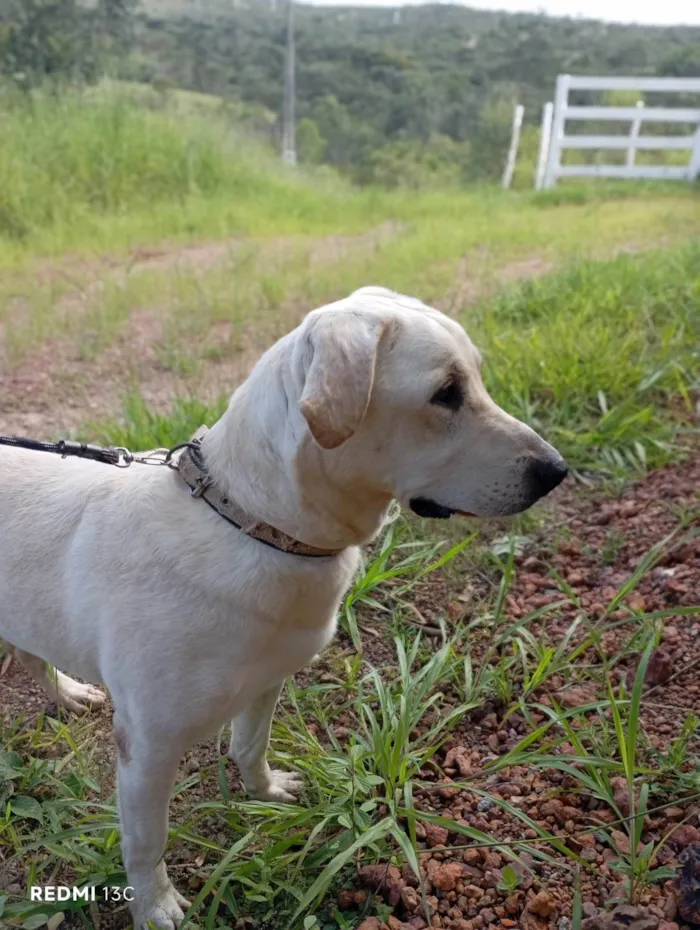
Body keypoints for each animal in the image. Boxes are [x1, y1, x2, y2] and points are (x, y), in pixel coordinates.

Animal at [0, 286, 568, 924]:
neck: (254, 523)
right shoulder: (146, 747)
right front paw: (154, 906)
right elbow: (146, 842)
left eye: (476, 377)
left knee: (30, 653)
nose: (556, 470)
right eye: (445, 392)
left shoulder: (268, 679)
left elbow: (249, 746)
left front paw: (266, 794)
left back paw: (68, 694)